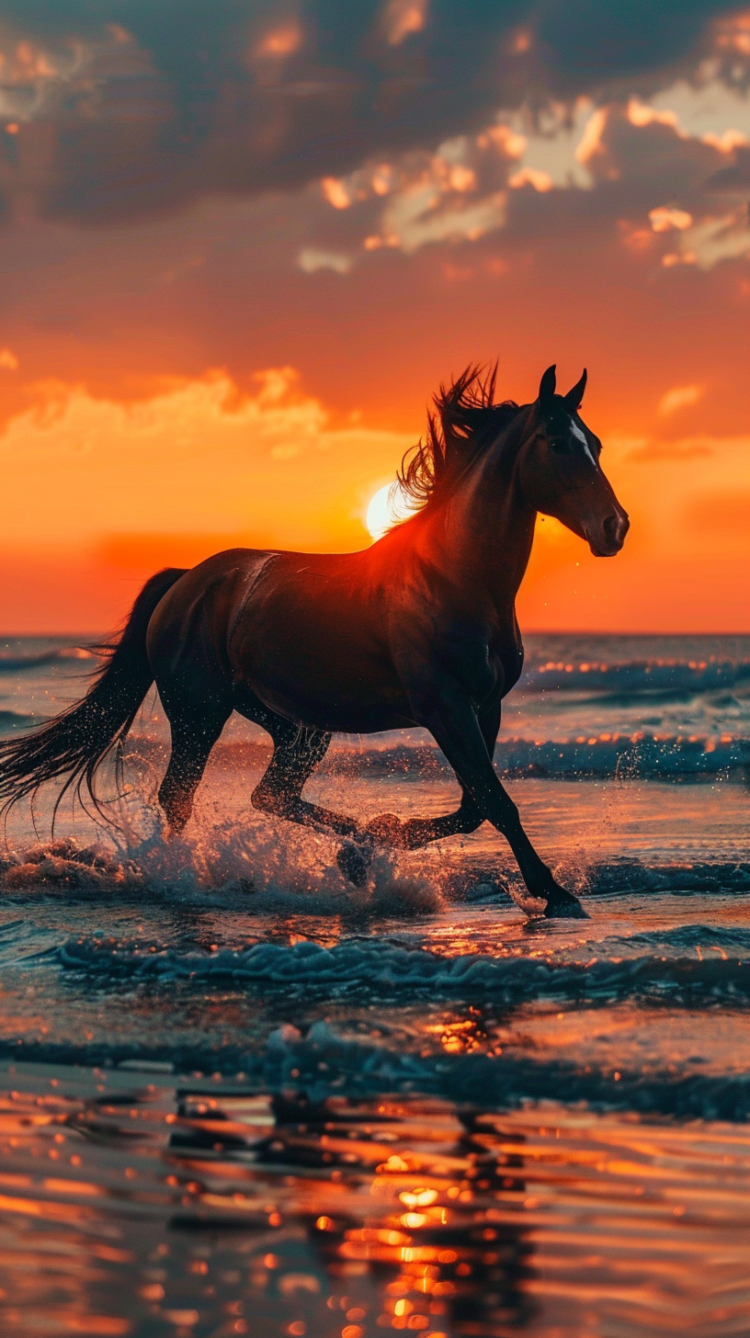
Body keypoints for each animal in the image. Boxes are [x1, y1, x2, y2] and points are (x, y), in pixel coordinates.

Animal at [0, 361, 625, 915]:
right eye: (558, 443)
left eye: (595, 442)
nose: (614, 528)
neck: (453, 577)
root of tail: (186, 580)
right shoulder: (445, 708)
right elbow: (496, 802)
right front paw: (557, 894)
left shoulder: (483, 706)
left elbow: (475, 806)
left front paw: (378, 841)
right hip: (199, 711)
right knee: (181, 796)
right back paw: (189, 878)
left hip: (295, 724)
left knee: (270, 793)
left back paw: (355, 850)